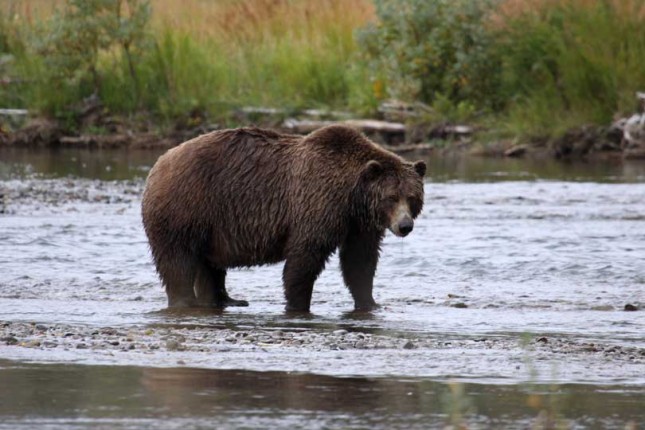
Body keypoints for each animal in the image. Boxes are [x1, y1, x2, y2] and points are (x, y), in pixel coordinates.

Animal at [142, 125, 422, 312]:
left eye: (412, 197)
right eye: (391, 197)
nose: (405, 226)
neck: (350, 198)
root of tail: (157, 165)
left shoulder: (359, 225)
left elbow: (360, 263)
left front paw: (371, 303)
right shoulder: (316, 205)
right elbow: (304, 260)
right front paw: (299, 305)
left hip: (209, 226)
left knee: (210, 266)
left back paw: (227, 299)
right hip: (185, 208)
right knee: (178, 261)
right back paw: (187, 301)